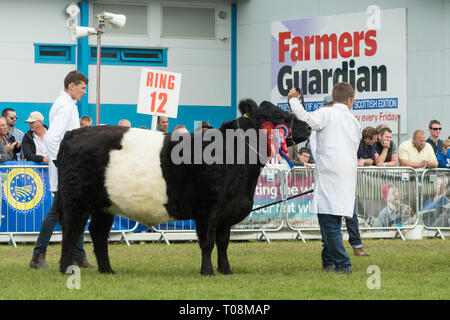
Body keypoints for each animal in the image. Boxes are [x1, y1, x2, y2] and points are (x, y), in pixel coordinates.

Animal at [56, 99, 312, 276]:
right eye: (278, 114)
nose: (309, 127)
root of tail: (75, 132)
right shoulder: (208, 210)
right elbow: (207, 242)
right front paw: (207, 271)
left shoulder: (227, 211)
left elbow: (223, 243)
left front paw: (226, 270)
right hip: (76, 200)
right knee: (71, 231)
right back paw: (66, 268)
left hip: (105, 205)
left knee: (98, 233)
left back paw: (107, 270)